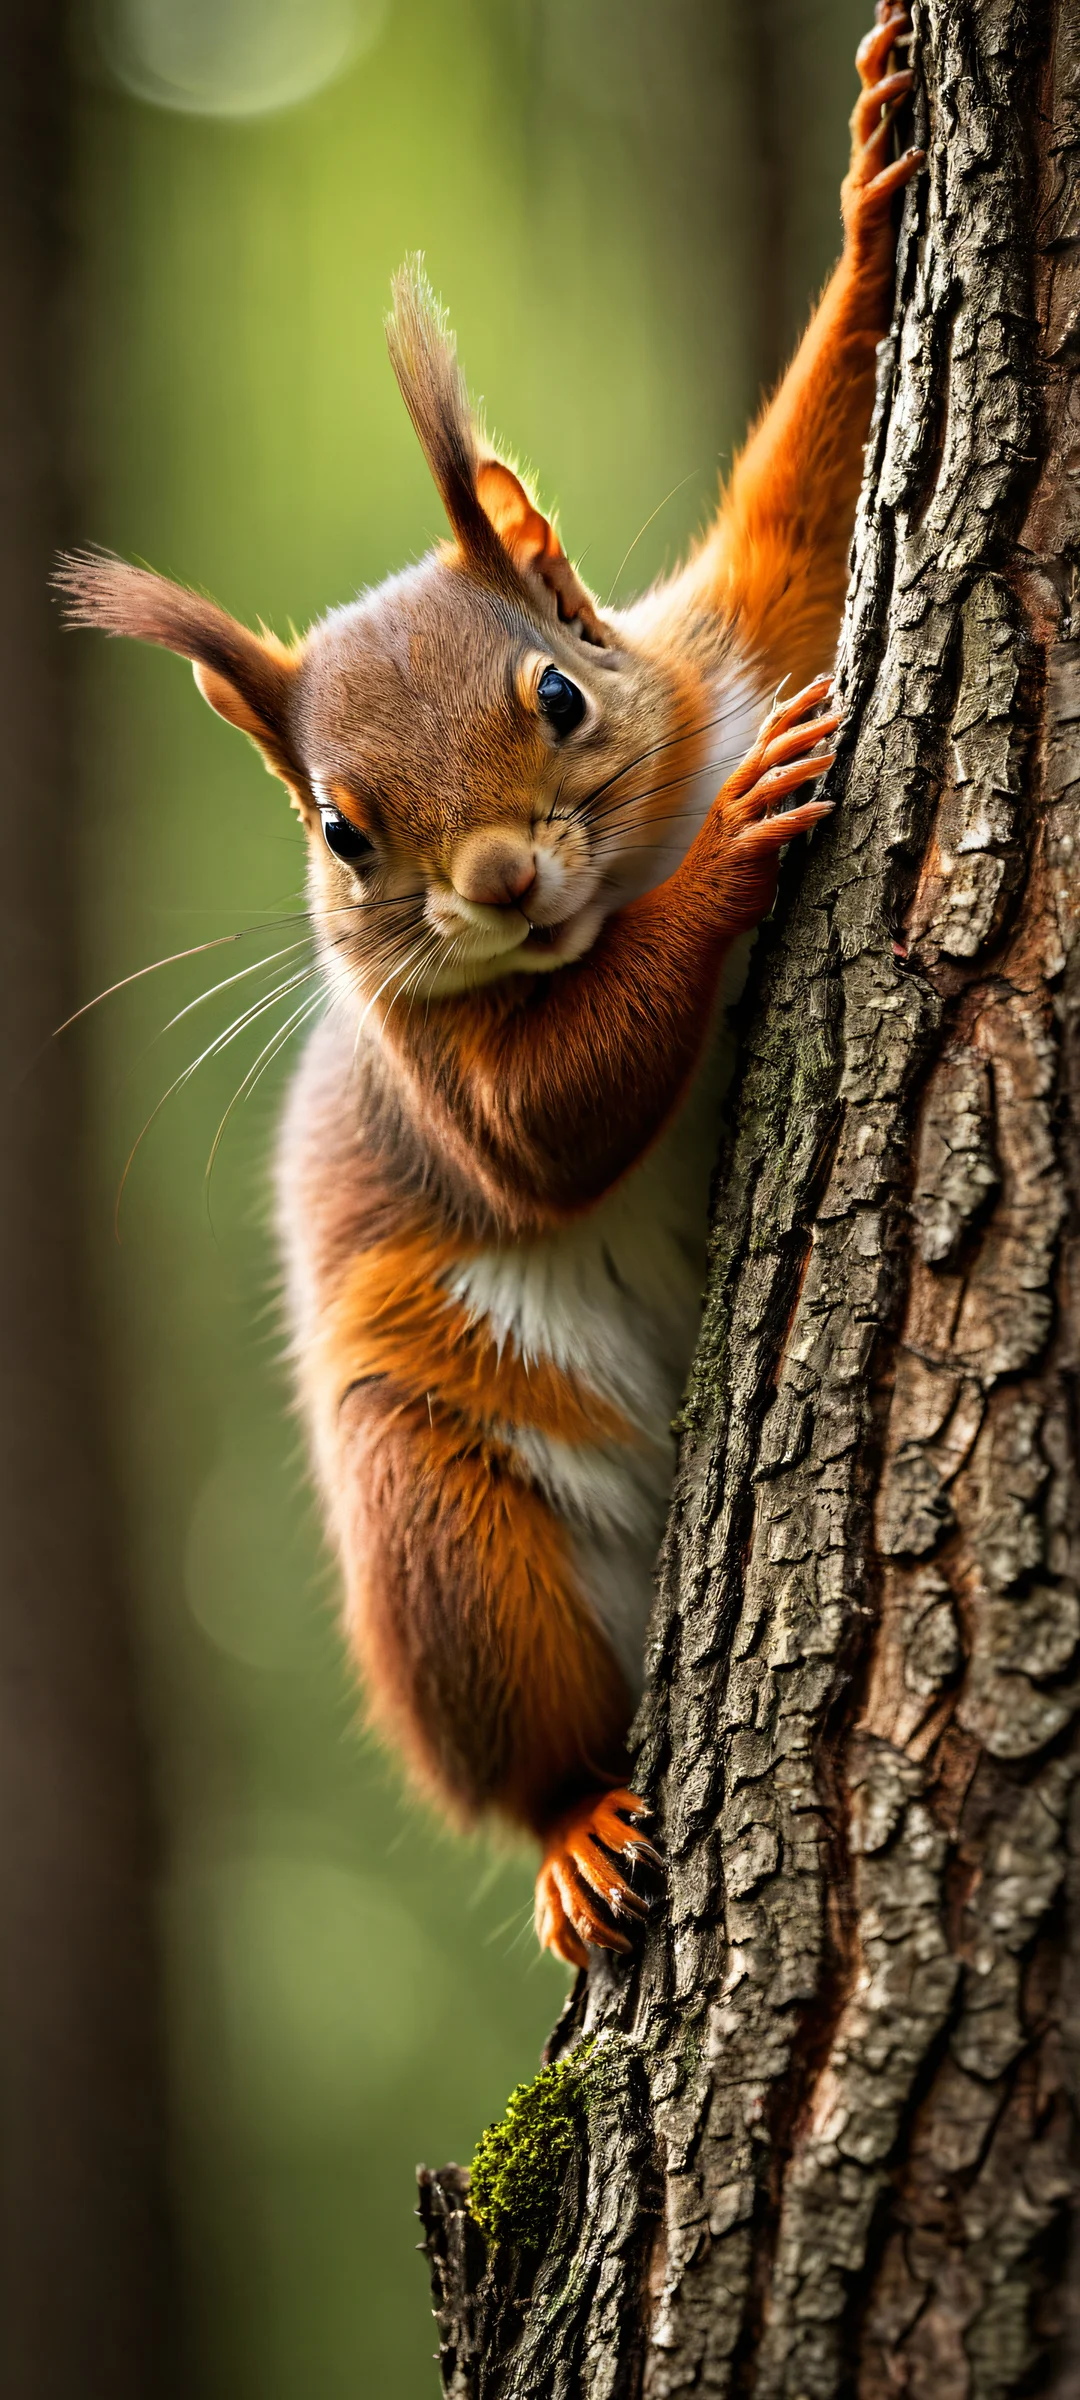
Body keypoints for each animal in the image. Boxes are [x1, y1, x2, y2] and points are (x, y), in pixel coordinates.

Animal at [60, 11, 922, 1969]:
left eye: (559, 690)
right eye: (342, 829)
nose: (506, 886)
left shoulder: (745, 632)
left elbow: (809, 494)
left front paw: (880, 173)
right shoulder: (431, 1066)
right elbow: (547, 1124)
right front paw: (733, 853)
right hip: (445, 1537)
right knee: (523, 1740)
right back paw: (578, 1835)